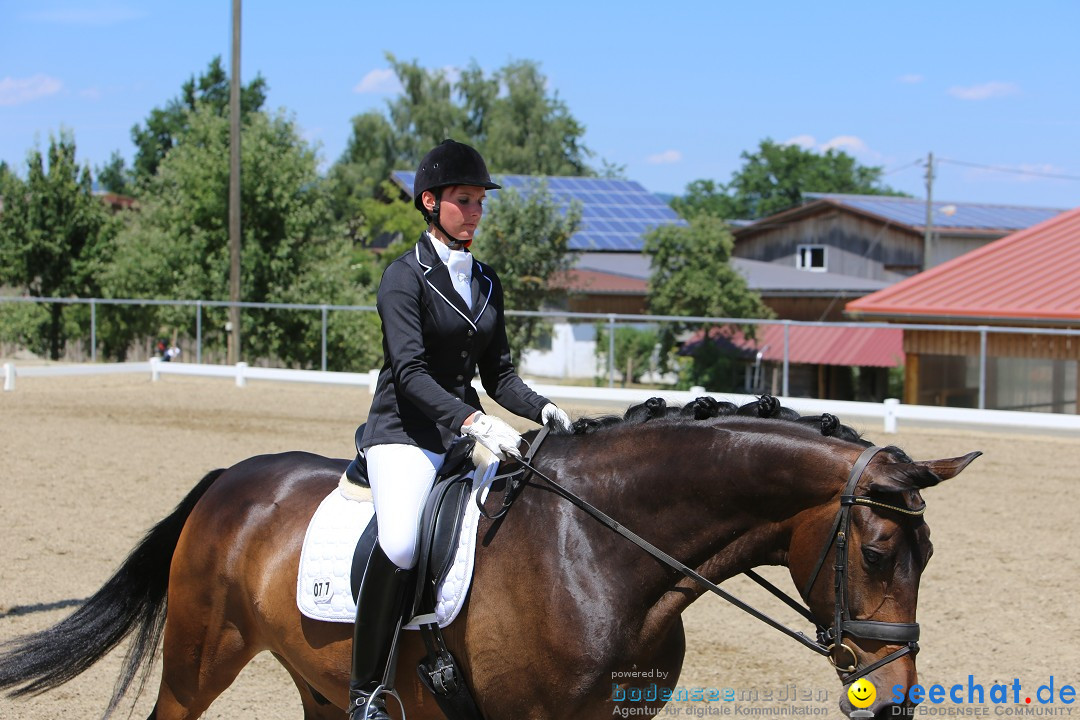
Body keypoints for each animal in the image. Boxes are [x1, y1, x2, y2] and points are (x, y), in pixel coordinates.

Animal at [0, 416, 980, 720]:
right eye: (880, 552)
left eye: (929, 556)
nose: (895, 700)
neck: (604, 552)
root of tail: (229, 482)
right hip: (201, 659)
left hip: (319, 678)